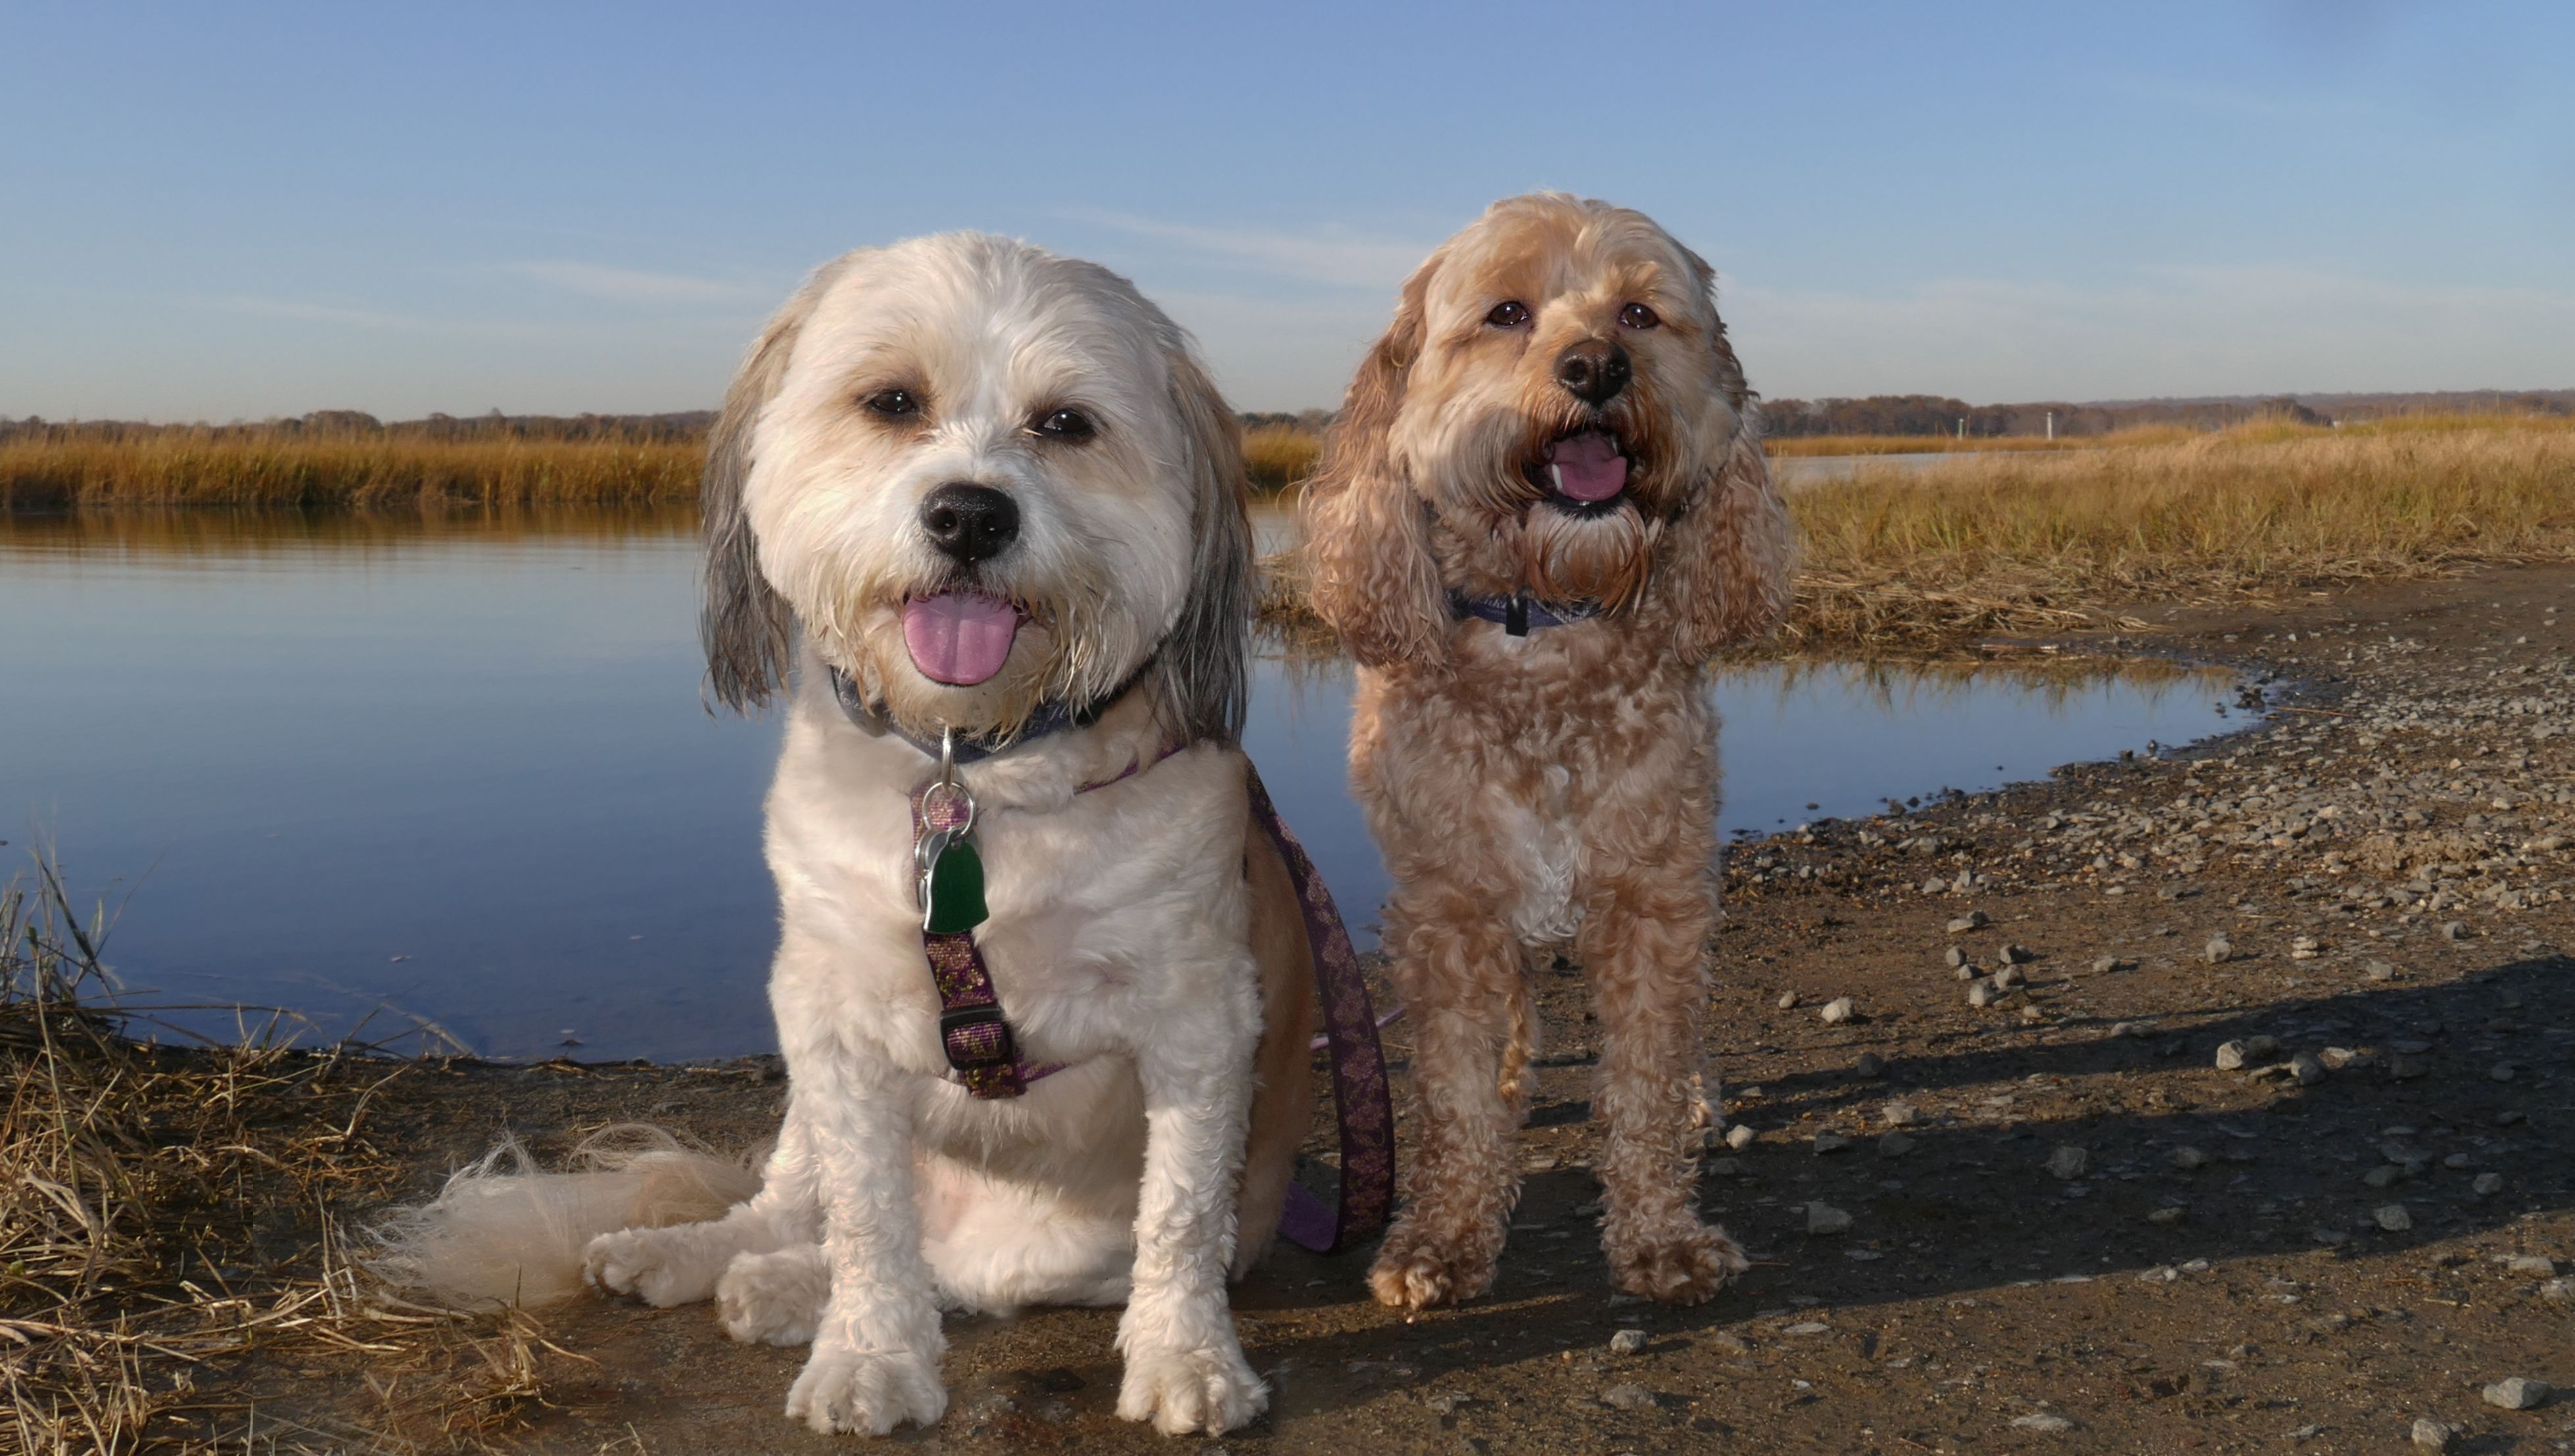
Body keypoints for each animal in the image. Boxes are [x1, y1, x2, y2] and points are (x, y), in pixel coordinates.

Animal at [383, 234, 1315, 1437]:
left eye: (1067, 423)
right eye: (891, 401)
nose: (971, 514)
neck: (972, 773)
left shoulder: (1200, 1017)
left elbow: (1182, 1211)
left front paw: (1185, 1355)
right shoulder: (827, 1015)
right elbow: (870, 1217)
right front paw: (868, 1356)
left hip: (1048, 1247)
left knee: (948, 1269)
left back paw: (781, 1288)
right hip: (801, 1101)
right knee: (801, 1207)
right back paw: (697, 1256)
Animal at [1299, 193, 1791, 1310]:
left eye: (1642, 313)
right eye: (1506, 312)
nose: (1596, 367)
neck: (1547, 634)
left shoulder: (1656, 892)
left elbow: (1642, 1081)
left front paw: (1660, 1234)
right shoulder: (1449, 910)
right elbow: (1455, 1096)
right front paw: (1443, 1236)